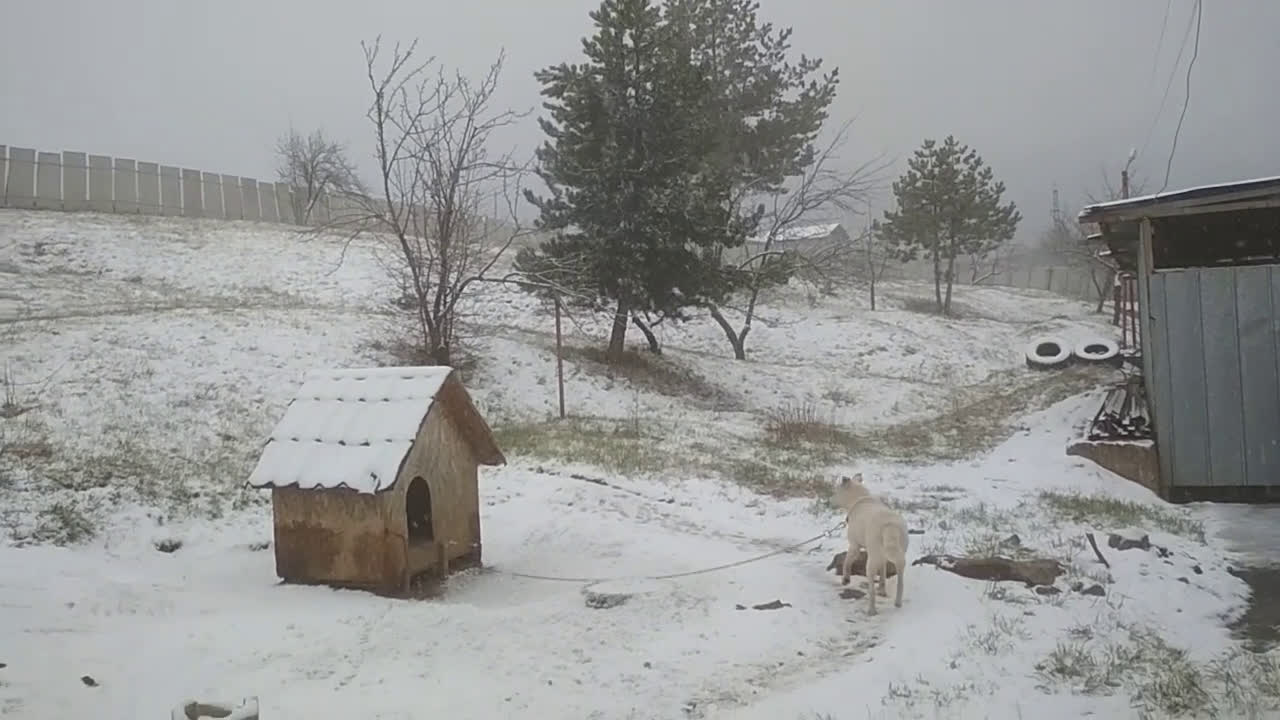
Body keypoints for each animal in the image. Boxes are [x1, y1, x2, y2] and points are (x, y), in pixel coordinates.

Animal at [829, 471, 911, 609]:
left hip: (871, 560)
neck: (858, 500)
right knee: (900, 582)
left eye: (835, 491)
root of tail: (889, 526)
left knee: (871, 587)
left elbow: (847, 562)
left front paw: (846, 579)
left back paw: (871, 609)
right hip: (898, 555)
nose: (828, 501)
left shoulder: (854, 546)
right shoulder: (883, 558)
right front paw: (882, 590)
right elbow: (883, 572)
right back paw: (897, 603)